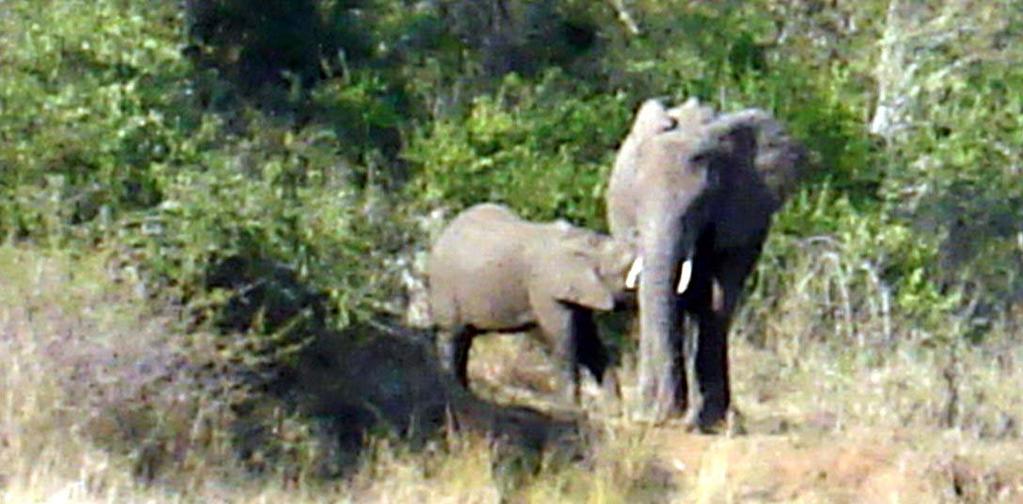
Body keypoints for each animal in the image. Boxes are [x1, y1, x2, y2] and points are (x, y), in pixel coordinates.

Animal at [427, 202, 634, 402]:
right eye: (625, 271)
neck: (588, 242)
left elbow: (588, 340)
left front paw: (612, 408)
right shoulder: (545, 288)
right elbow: (564, 339)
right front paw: (567, 407)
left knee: (466, 339)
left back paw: (466, 393)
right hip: (444, 287)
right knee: (451, 335)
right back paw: (453, 390)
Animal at [605, 97, 806, 427]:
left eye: (700, 205)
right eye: (636, 199)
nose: (667, 414)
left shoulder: (743, 215)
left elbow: (720, 297)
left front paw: (707, 421)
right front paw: (659, 415)